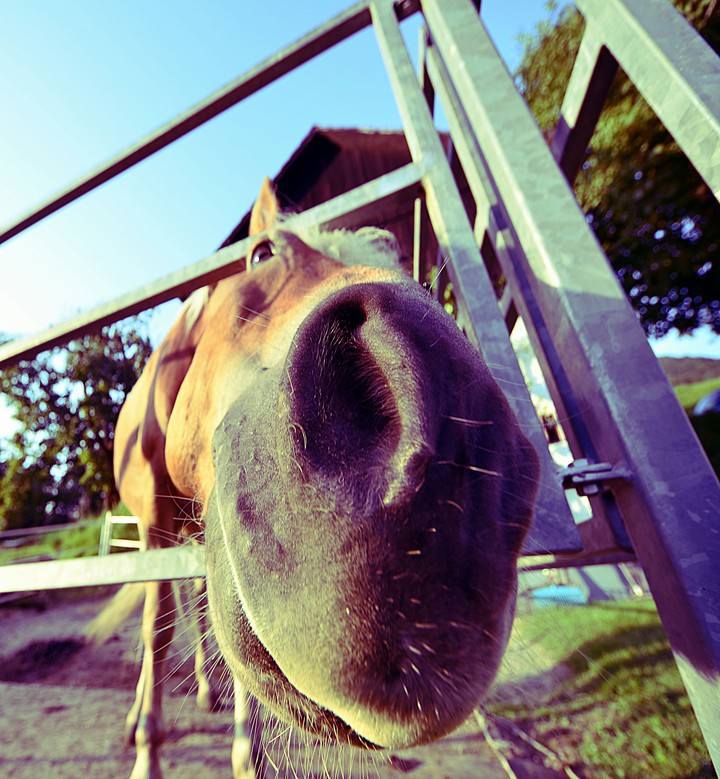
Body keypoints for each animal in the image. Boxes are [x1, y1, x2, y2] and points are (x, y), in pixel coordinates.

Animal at [113, 177, 540, 779]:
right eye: (262, 254)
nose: (428, 464)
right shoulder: (152, 529)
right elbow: (157, 631)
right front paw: (148, 749)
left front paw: (247, 754)